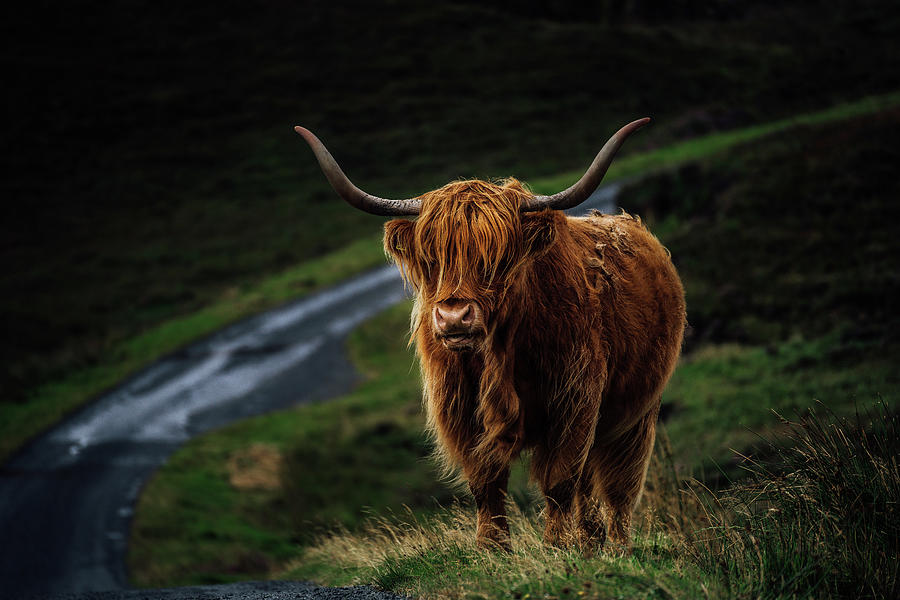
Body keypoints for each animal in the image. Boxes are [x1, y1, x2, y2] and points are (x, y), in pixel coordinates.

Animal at [296, 119, 684, 552]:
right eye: (432, 259)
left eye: (496, 258)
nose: (453, 316)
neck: (500, 353)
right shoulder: (461, 410)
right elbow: (486, 482)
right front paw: (492, 547)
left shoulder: (574, 400)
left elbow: (559, 481)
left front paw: (556, 545)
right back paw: (591, 538)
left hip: (637, 414)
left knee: (619, 486)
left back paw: (614, 545)